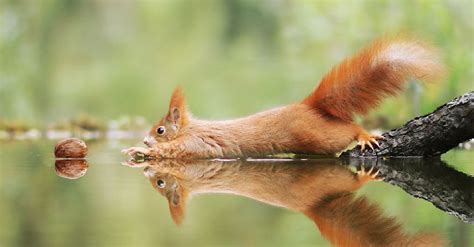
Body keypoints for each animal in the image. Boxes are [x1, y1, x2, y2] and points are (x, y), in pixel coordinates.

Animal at [123, 38, 444, 158]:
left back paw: (365, 134)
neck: (191, 129)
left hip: (317, 135)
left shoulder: (196, 144)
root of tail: (307, 105)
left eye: (160, 130)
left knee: (349, 129)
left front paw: (139, 151)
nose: (145, 140)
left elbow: (175, 153)